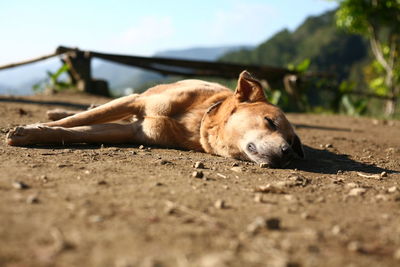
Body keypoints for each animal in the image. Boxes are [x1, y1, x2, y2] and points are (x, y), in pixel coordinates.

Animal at [5, 71, 304, 168]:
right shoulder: (135, 100)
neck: (198, 119)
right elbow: (77, 120)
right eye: (270, 122)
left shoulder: (133, 132)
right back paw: (55, 111)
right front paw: (29, 129)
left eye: (292, 142)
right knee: (89, 109)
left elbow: (78, 130)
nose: (288, 154)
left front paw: (33, 132)